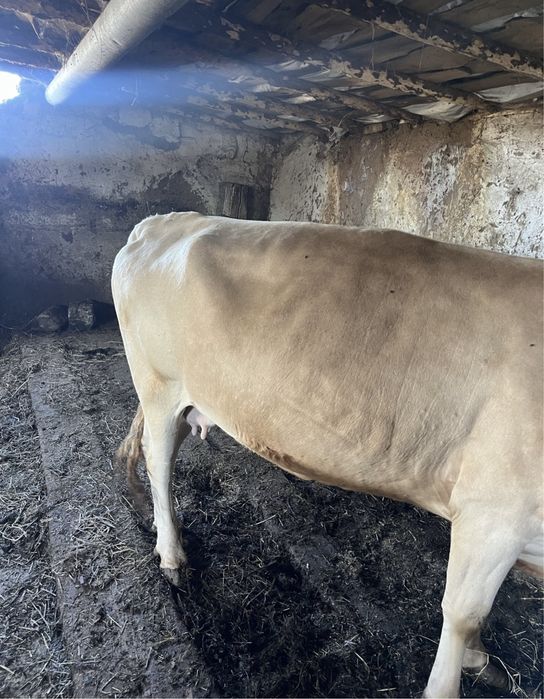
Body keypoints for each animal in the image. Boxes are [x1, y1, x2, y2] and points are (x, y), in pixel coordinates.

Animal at [112, 212, 543, 698]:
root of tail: (165, 221)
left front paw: (479, 657)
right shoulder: (493, 510)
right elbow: (464, 613)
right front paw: (462, 669)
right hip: (159, 385)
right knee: (158, 463)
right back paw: (171, 555)